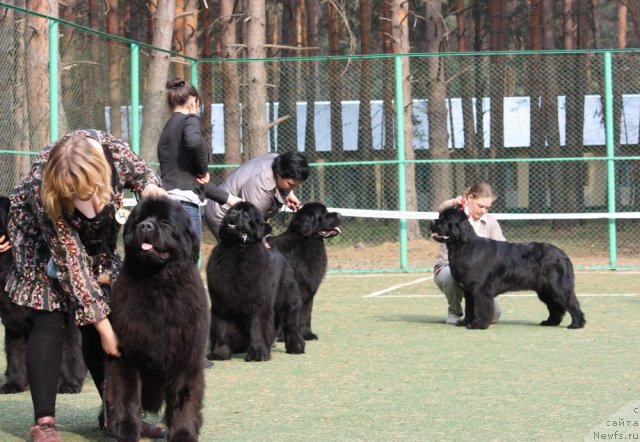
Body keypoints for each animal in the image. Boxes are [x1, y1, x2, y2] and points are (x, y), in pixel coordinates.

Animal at [104, 198, 206, 442]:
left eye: (165, 222)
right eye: (139, 220)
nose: (145, 226)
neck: (158, 286)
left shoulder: (186, 355)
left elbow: (183, 400)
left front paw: (183, 434)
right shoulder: (127, 355)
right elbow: (128, 398)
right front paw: (128, 432)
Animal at [268, 203, 342, 342]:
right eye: (323, 213)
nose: (341, 215)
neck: (306, 241)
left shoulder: (308, 291)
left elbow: (306, 315)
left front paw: (307, 334)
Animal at [430, 209, 584, 330]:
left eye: (446, 219)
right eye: (439, 216)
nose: (431, 222)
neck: (463, 246)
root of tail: (563, 254)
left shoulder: (480, 290)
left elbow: (481, 307)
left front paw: (478, 324)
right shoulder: (469, 291)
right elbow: (469, 308)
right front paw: (465, 322)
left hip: (557, 286)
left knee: (571, 303)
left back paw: (576, 324)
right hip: (545, 290)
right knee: (555, 306)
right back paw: (550, 322)